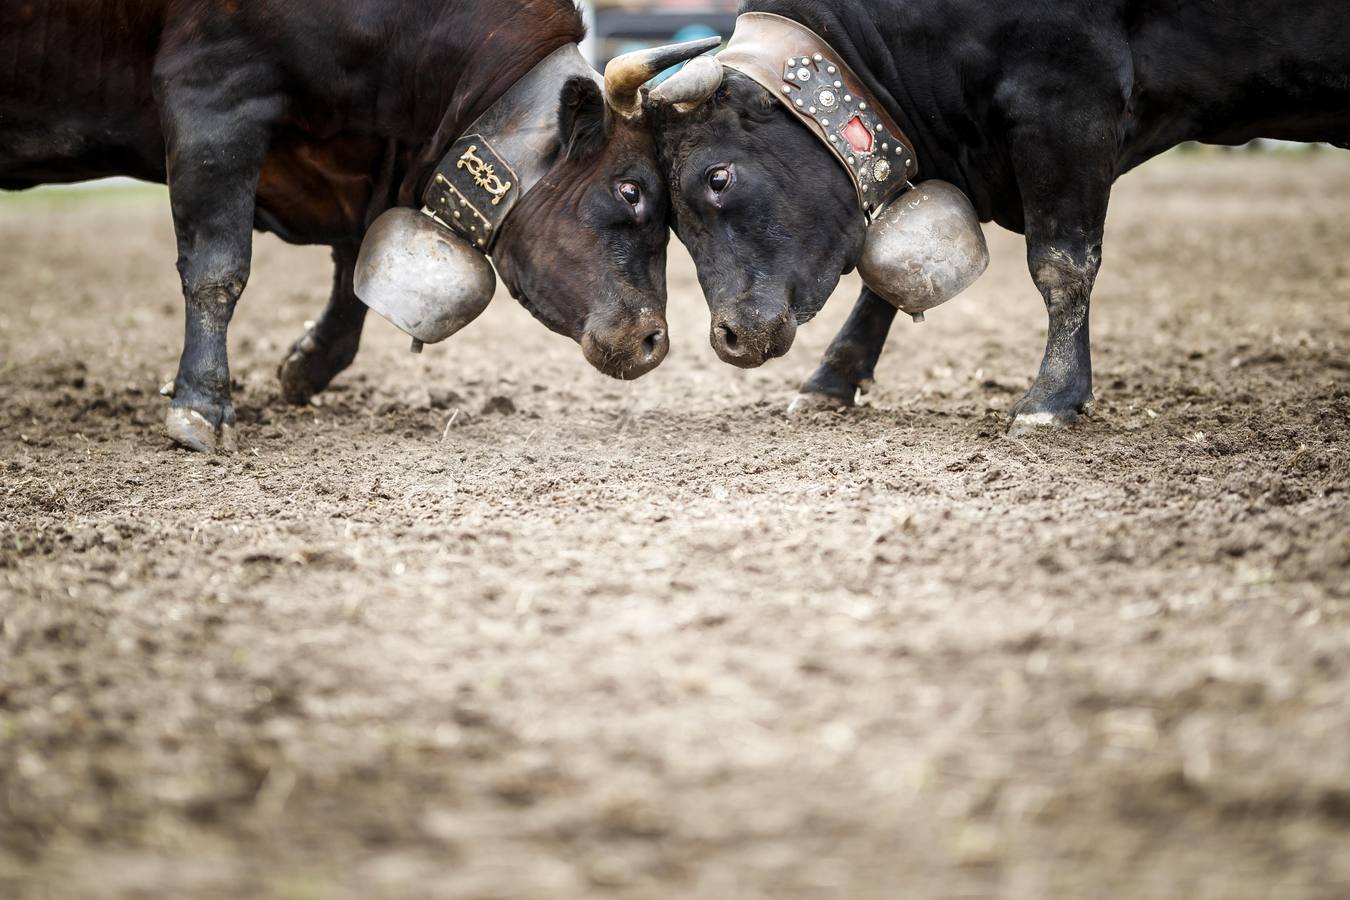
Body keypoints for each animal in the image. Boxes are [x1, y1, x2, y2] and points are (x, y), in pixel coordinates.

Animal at [0, 0, 709, 451]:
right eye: (631, 189)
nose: (654, 340)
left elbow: (354, 268)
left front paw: (308, 365)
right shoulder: (212, 96)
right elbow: (217, 268)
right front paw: (200, 404)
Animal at [652, 0, 1350, 432]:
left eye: (717, 178)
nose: (728, 338)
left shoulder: (1067, 104)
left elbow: (1062, 264)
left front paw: (1053, 398)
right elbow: (887, 275)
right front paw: (831, 380)